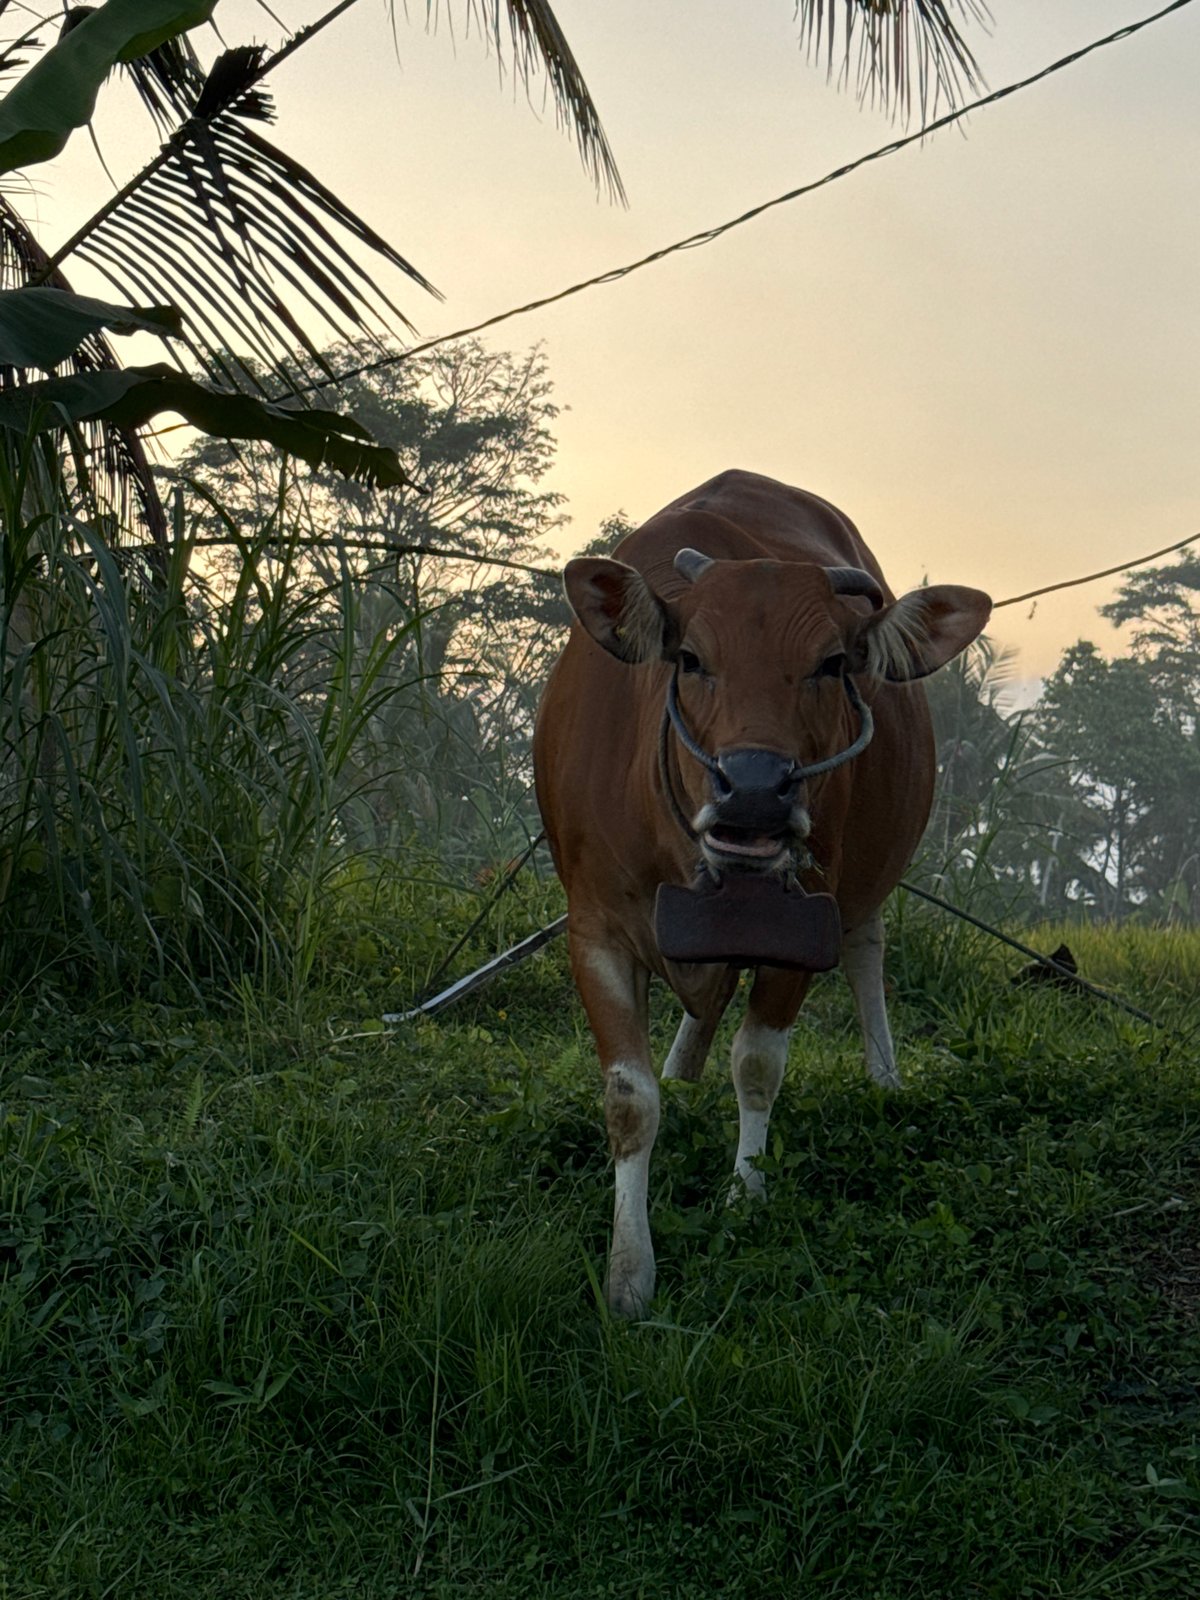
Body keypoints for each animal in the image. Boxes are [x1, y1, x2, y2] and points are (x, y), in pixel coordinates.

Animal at [533, 470, 991, 1316]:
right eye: (689, 657)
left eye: (833, 664)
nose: (753, 788)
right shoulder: (595, 928)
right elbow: (629, 1100)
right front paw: (629, 1270)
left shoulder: (802, 924)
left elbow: (756, 1066)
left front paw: (745, 1198)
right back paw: (684, 1064)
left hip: (869, 884)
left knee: (866, 951)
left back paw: (884, 1074)